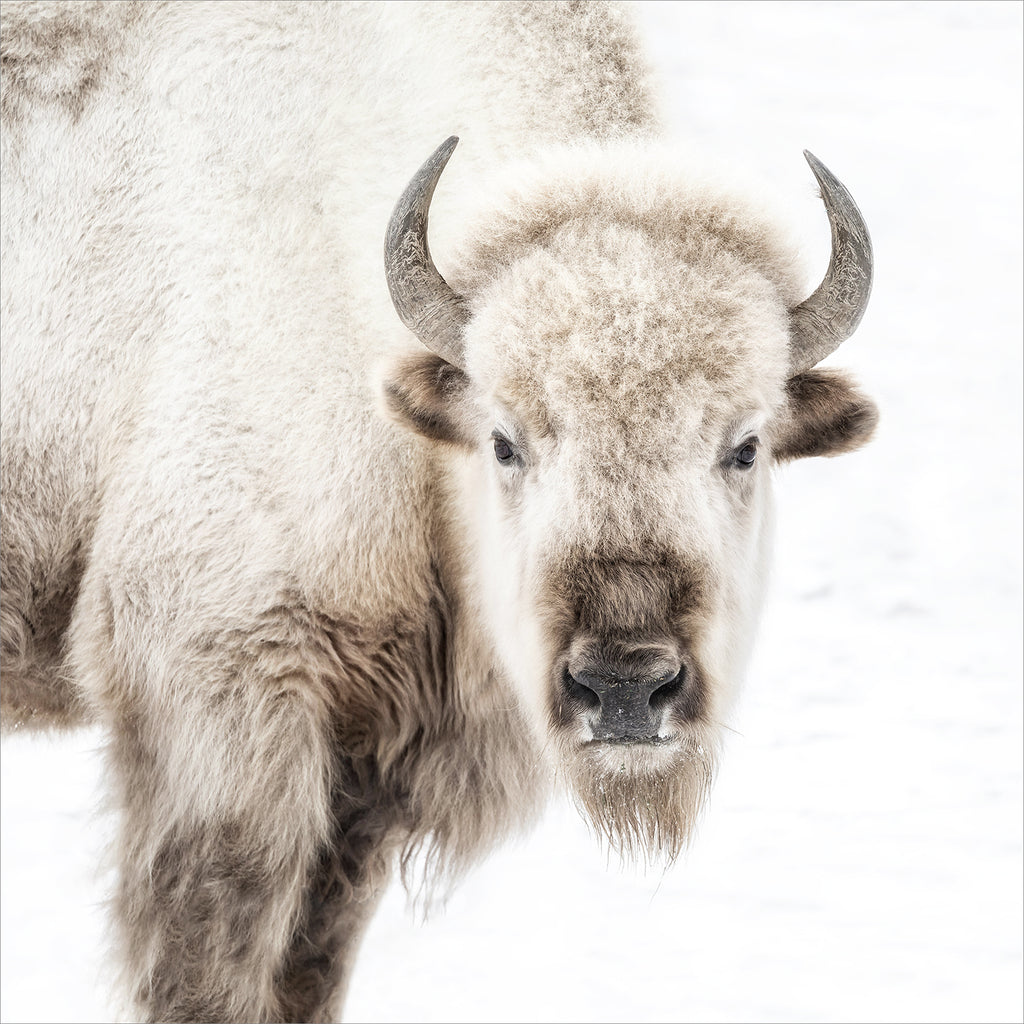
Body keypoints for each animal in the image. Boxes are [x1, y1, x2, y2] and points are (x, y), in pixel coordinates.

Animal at [4, 0, 876, 1019]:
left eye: (744, 446)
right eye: (504, 438)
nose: (625, 687)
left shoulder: (361, 788)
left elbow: (308, 965)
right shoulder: (222, 715)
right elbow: (211, 962)